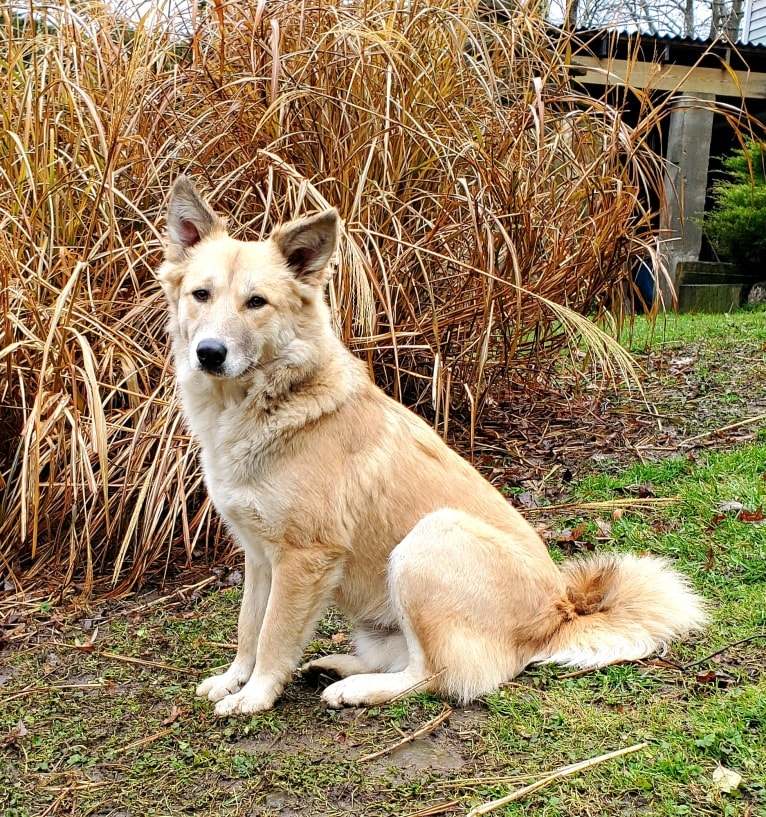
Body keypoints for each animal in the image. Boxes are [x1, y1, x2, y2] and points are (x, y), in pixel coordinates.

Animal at [159, 177, 712, 712]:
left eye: (257, 302)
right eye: (201, 294)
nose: (209, 353)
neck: (266, 403)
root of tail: (559, 616)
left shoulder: (303, 558)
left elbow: (273, 635)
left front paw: (255, 695)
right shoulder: (259, 558)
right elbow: (248, 627)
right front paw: (234, 679)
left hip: (429, 539)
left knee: (438, 674)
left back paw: (357, 690)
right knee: (404, 658)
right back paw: (337, 667)